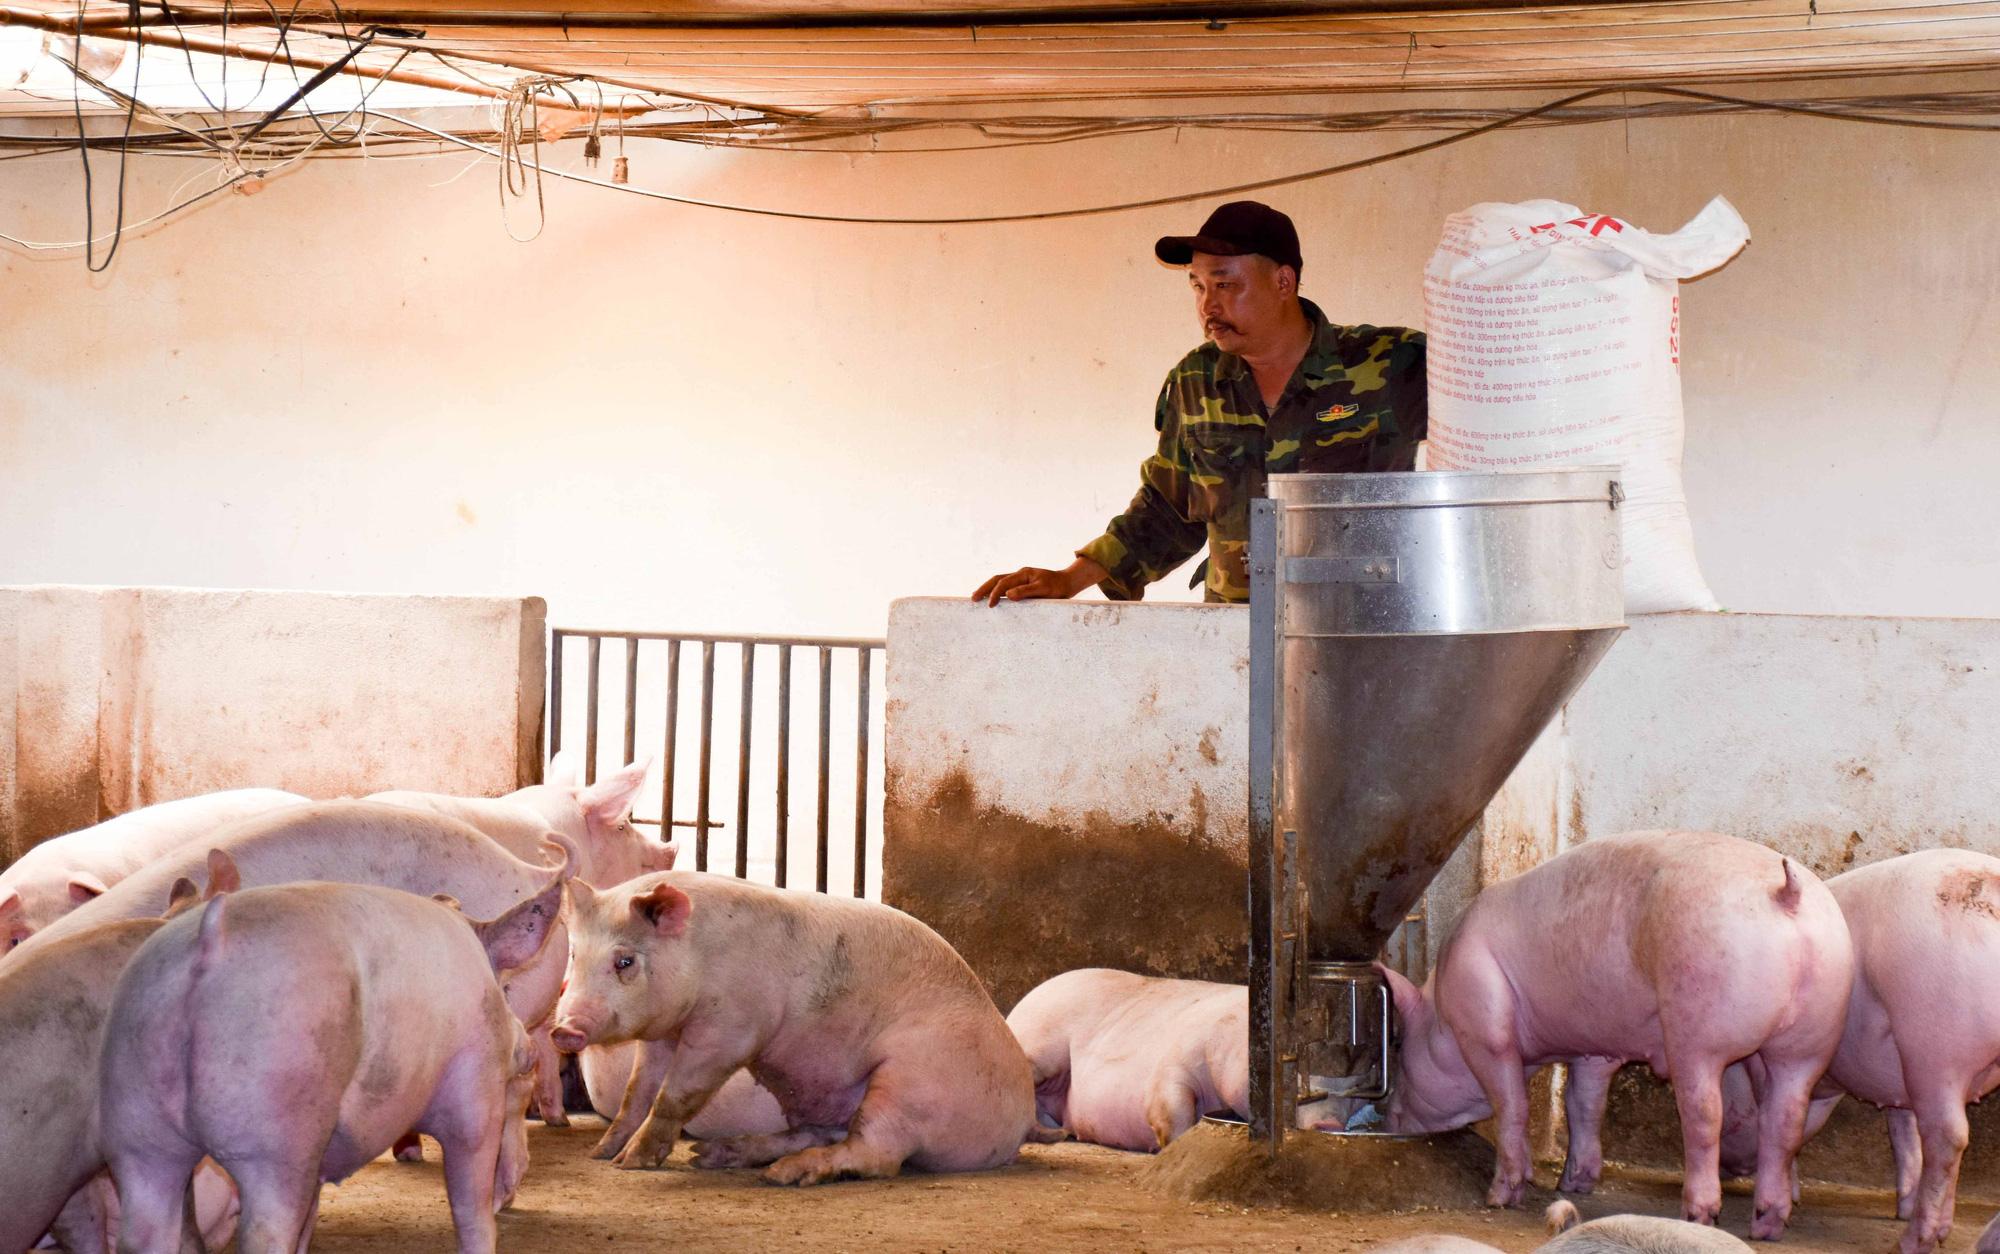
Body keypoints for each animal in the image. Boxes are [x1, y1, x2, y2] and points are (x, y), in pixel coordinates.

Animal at [99, 880, 564, 1254]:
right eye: (507, 989)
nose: (529, 1050)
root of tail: (208, 943)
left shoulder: (320, 1158)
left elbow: (310, 1224)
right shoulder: (475, 1092)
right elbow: (472, 1211)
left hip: (136, 1120)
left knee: (144, 1234)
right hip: (275, 1125)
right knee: (264, 1235)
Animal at [548, 872, 1048, 1184]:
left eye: (624, 961)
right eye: (574, 954)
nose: (564, 1029)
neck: (700, 954)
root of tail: (1023, 1115)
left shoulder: (732, 1027)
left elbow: (675, 1095)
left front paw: (631, 1164)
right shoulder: (662, 1035)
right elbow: (637, 1092)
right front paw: (602, 1153)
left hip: (914, 1081)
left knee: (877, 1153)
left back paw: (784, 1175)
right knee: (821, 1132)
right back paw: (715, 1156)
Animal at [1384, 828, 1848, 1240]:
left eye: (1399, 1045)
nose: (1387, 1118)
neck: (1443, 1012)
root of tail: (1786, 892)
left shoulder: (1486, 1028)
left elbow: (1512, 1104)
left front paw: (1501, 1197)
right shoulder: (1594, 1050)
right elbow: (1584, 1105)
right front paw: (1572, 1185)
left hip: (1699, 1027)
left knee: (1704, 1114)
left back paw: (1698, 1214)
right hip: (1811, 1039)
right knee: (1785, 1119)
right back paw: (1767, 1225)